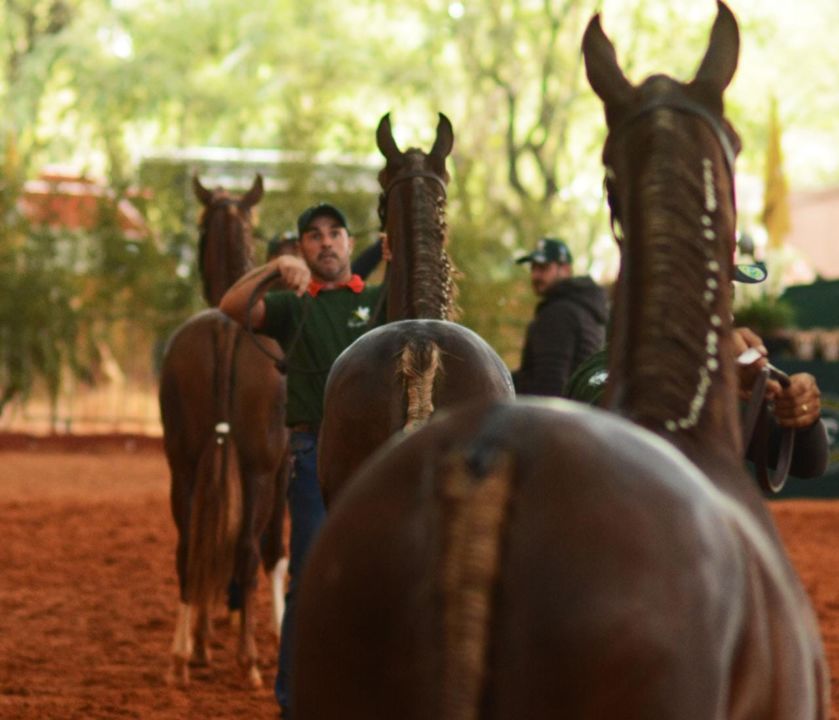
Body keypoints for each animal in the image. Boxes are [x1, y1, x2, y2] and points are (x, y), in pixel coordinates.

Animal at [159, 174, 290, 688]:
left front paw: (201, 643)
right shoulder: (283, 470)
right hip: (258, 470)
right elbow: (272, 551)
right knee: (249, 550)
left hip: (182, 465)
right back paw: (248, 660)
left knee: (188, 547)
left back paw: (181, 657)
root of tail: (227, 326)